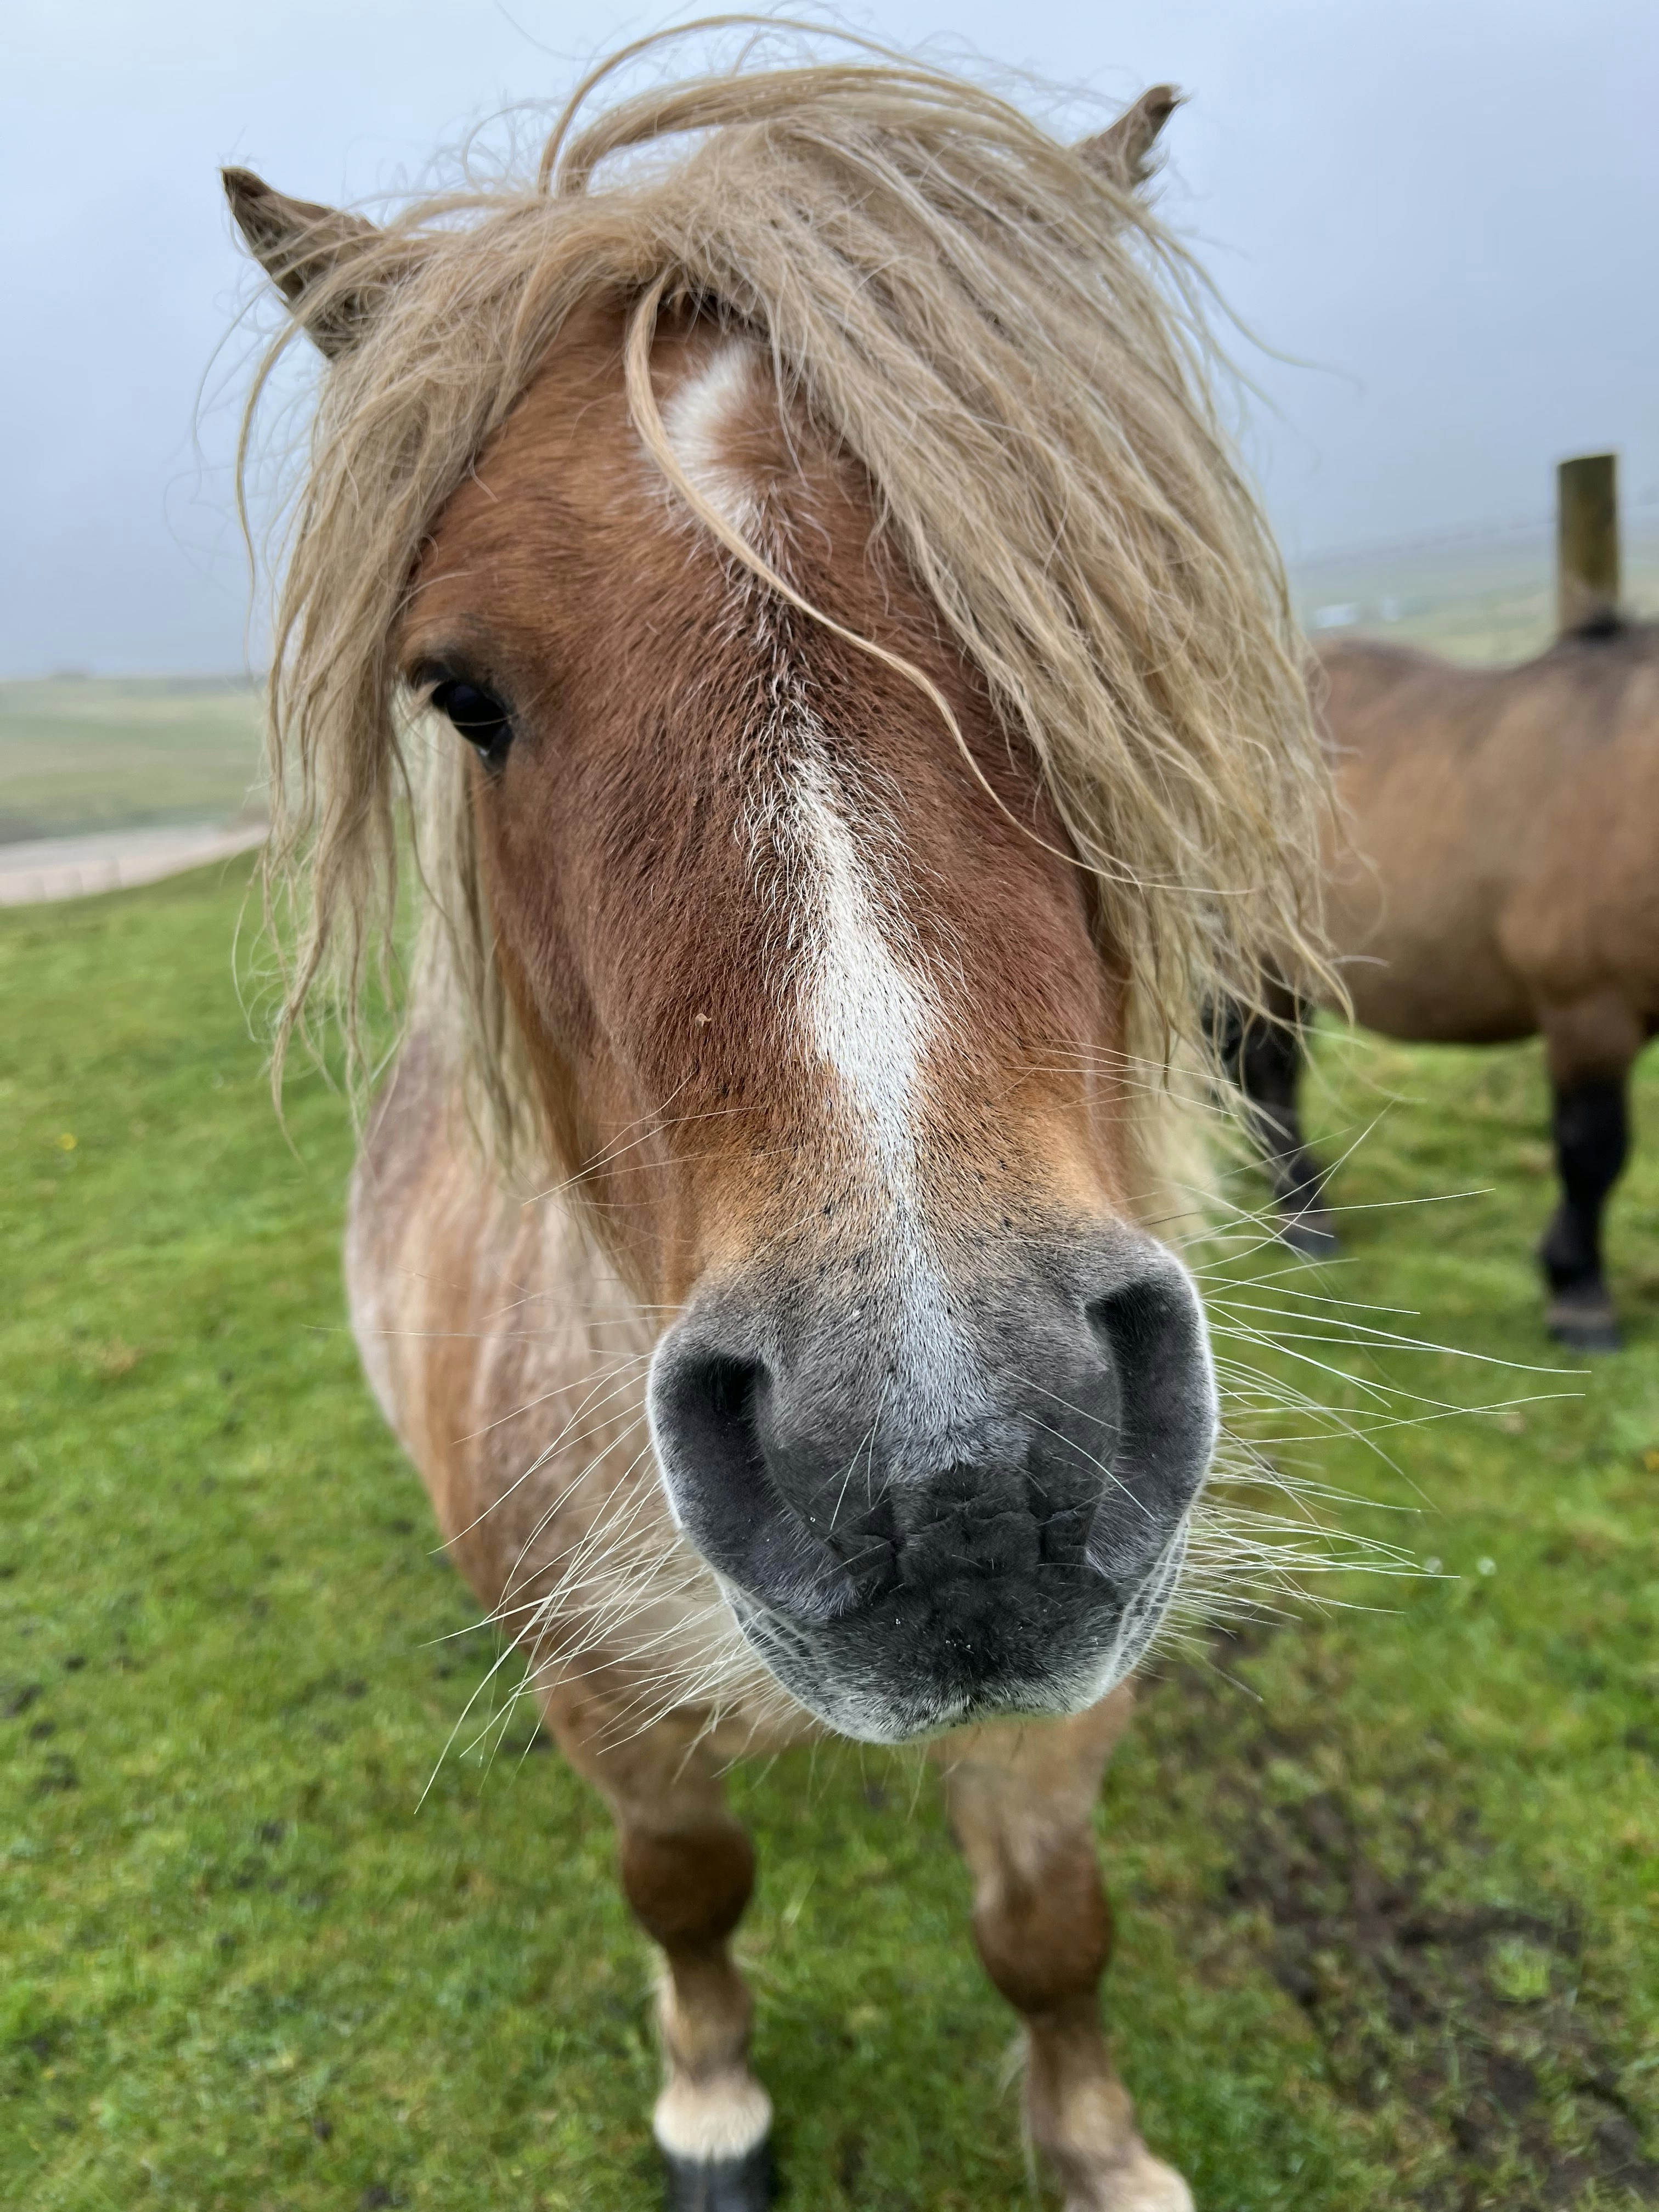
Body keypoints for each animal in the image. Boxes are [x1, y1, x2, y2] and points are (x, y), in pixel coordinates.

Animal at [228, 39, 1332, 2210]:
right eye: (458, 690)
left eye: (1066, 606)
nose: (953, 1476)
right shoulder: (612, 1702)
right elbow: (685, 1888)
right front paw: (715, 2095)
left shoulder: (1066, 1704)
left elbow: (1048, 1930)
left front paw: (1095, 2144)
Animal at [1224, 623, 1659, 1351]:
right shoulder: (1588, 1013)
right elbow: (1592, 1152)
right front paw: (1578, 1295)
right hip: (1254, 959)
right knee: (1265, 1076)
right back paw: (1305, 1217)